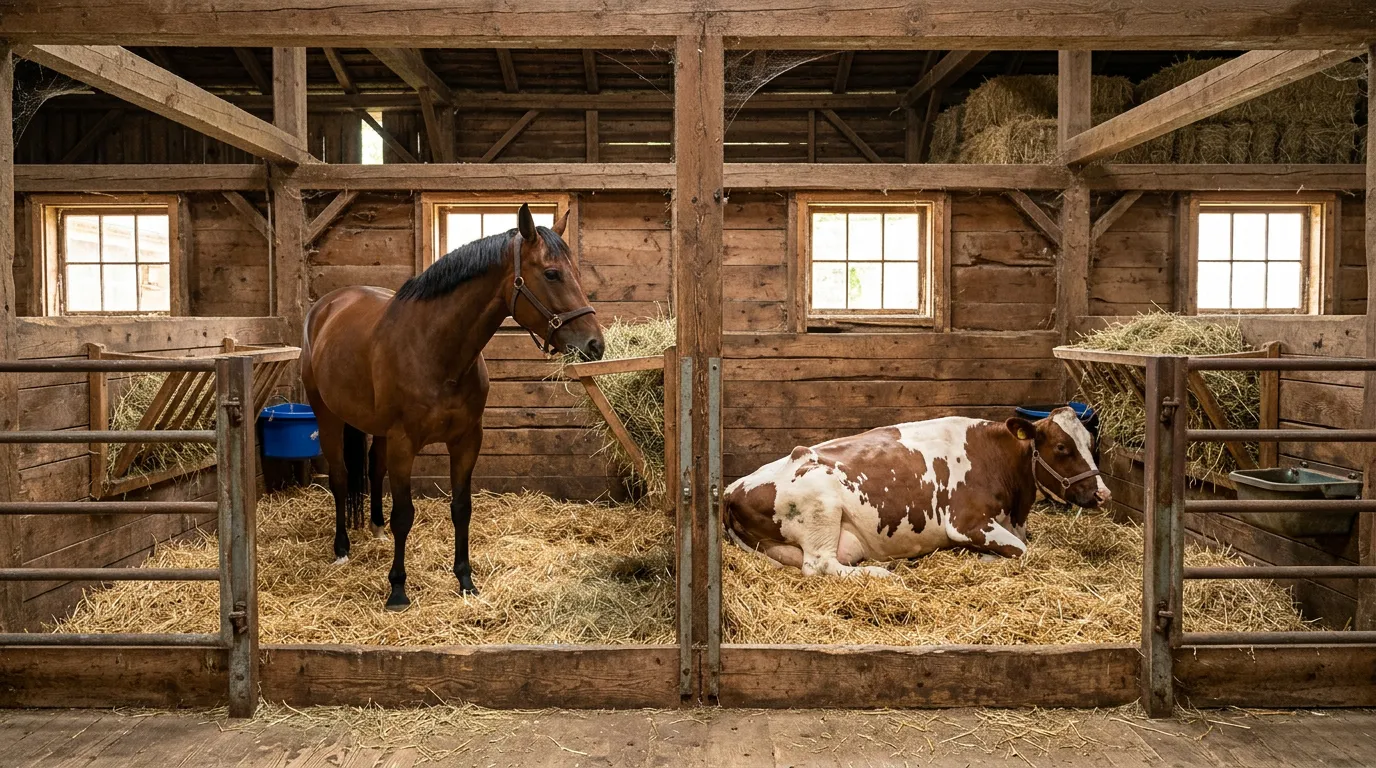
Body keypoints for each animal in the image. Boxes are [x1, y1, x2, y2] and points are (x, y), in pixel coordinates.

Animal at [301, 204, 605, 610]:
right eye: (552, 273)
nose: (595, 345)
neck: (435, 349)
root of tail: (327, 307)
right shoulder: (404, 443)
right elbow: (404, 514)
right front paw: (398, 589)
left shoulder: (466, 440)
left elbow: (461, 509)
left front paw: (465, 580)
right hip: (328, 417)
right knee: (339, 478)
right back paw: (341, 548)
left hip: (376, 429)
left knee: (373, 470)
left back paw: (376, 529)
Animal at [723, 408, 1109, 577]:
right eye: (1061, 448)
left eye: (1091, 444)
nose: (1103, 494)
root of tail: (730, 488)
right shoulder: (966, 522)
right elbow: (1024, 551)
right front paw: (983, 557)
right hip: (822, 508)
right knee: (820, 565)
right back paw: (882, 573)